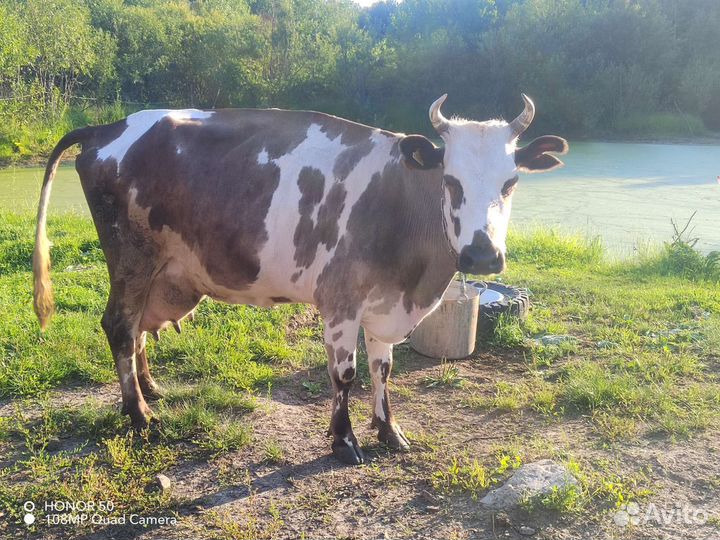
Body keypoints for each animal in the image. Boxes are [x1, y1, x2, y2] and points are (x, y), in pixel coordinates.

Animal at [33, 95, 567, 464]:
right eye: (449, 181)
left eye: (511, 182)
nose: (482, 255)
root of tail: (108, 127)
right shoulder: (340, 299)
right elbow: (345, 375)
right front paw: (344, 442)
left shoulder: (384, 302)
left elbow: (383, 369)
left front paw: (388, 431)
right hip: (130, 259)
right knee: (120, 327)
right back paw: (139, 414)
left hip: (159, 273)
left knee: (140, 327)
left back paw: (150, 389)